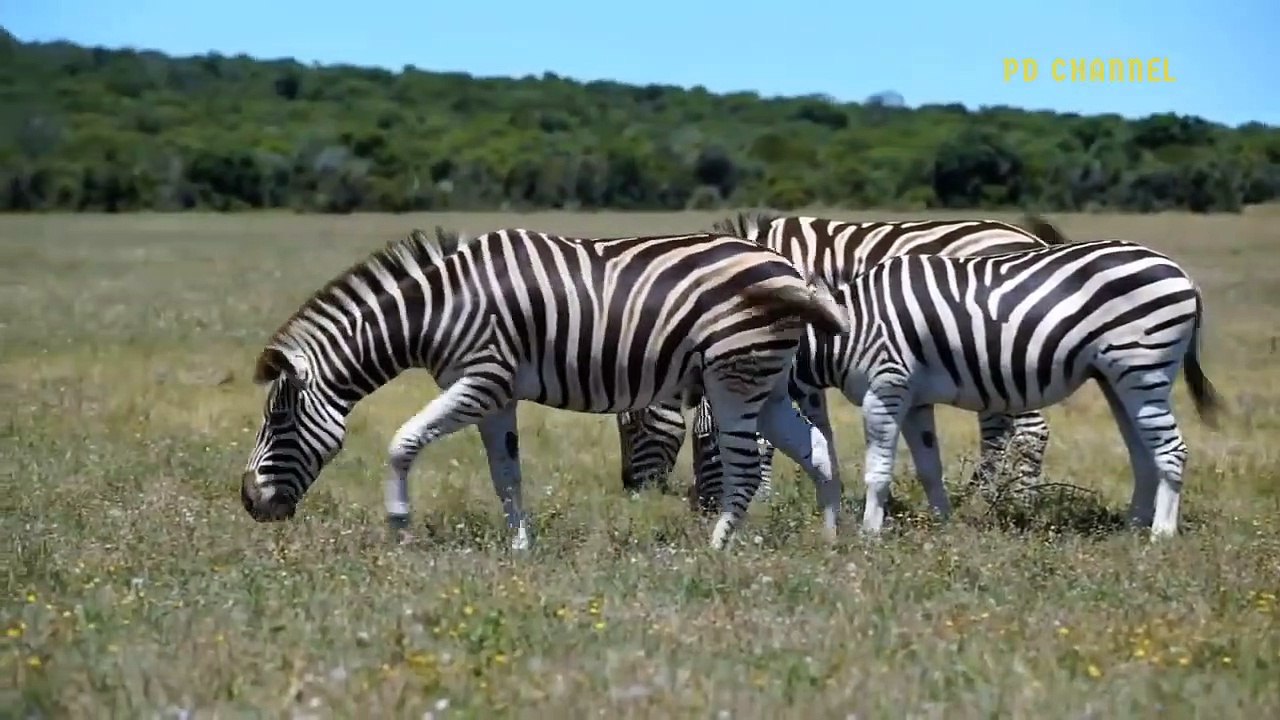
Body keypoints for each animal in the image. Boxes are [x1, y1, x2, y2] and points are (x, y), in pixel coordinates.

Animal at [239, 226, 851, 551]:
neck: (438, 310)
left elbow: (402, 442)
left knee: (745, 469)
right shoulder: (496, 396)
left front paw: (399, 524)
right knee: (819, 451)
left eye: (278, 420)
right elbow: (507, 477)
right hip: (766, 386)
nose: (249, 503)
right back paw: (831, 542)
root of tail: (790, 269)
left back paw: (714, 550)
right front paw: (521, 550)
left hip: (732, 378)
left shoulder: (481, 381)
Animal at [615, 211, 1067, 512]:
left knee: (1030, 430)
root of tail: (1029, 236)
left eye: (631, 425)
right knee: (999, 429)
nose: (630, 490)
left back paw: (1015, 504)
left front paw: (763, 497)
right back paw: (981, 497)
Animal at [771, 238, 1222, 538]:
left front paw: (870, 533)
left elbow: (878, 469)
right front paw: (943, 524)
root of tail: (1183, 274)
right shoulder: (915, 400)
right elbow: (929, 467)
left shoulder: (887, 387)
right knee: (1143, 453)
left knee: (1172, 450)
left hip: (1143, 367)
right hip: (1116, 378)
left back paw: (1161, 535)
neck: (847, 330)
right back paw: (1132, 527)